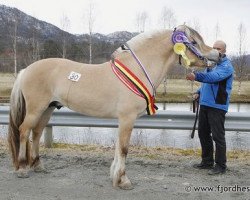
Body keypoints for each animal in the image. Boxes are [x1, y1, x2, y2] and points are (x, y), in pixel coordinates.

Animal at [7, 25, 219, 189]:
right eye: (194, 42)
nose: (218, 54)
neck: (136, 70)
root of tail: (26, 69)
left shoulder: (123, 120)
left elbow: (118, 147)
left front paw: (115, 177)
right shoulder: (127, 118)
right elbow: (124, 148)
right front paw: (123, 181)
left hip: (47, 109)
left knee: (36, 134)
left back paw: (38, 166)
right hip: (36, 109)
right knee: (24, 131)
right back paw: (23, 169)